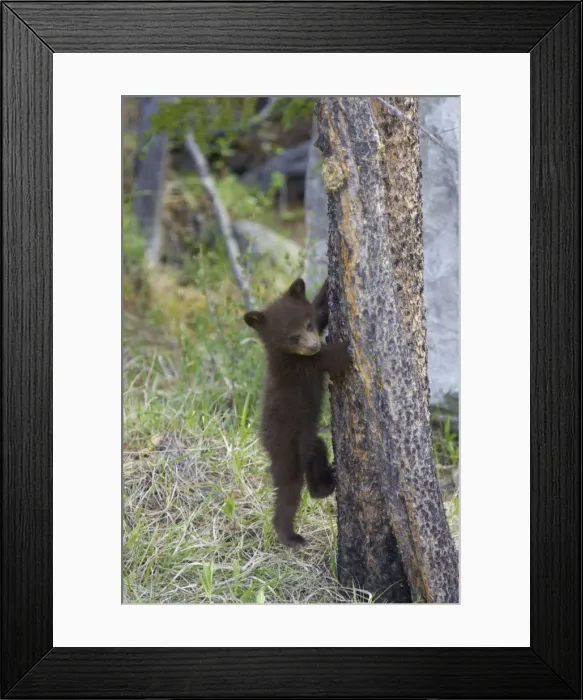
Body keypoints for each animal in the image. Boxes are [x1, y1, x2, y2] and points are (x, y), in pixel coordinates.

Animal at [243, 277, 351, 548]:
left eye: (308, 325)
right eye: (292, 338)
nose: (313, 345)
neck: (286, 355)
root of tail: (265, 443)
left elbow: (321, 309)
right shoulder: (306, 365)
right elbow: (335, 357)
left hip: (307, 440)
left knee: (317, 451)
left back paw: (324, 485)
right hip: (286, 447)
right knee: (288, 490)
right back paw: (290, 536)